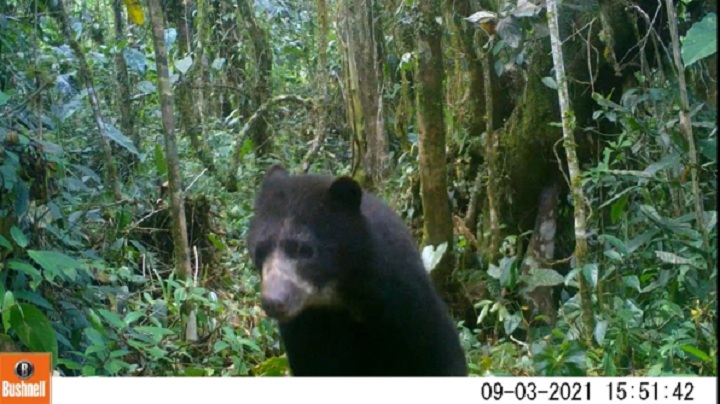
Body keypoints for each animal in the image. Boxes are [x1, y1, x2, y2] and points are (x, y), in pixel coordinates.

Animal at [246, 164, 467, 376]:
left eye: (305, 250)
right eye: (259, 251)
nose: (274, 301)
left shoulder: (404, 297)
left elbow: (437, 354)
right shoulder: (306, 327)